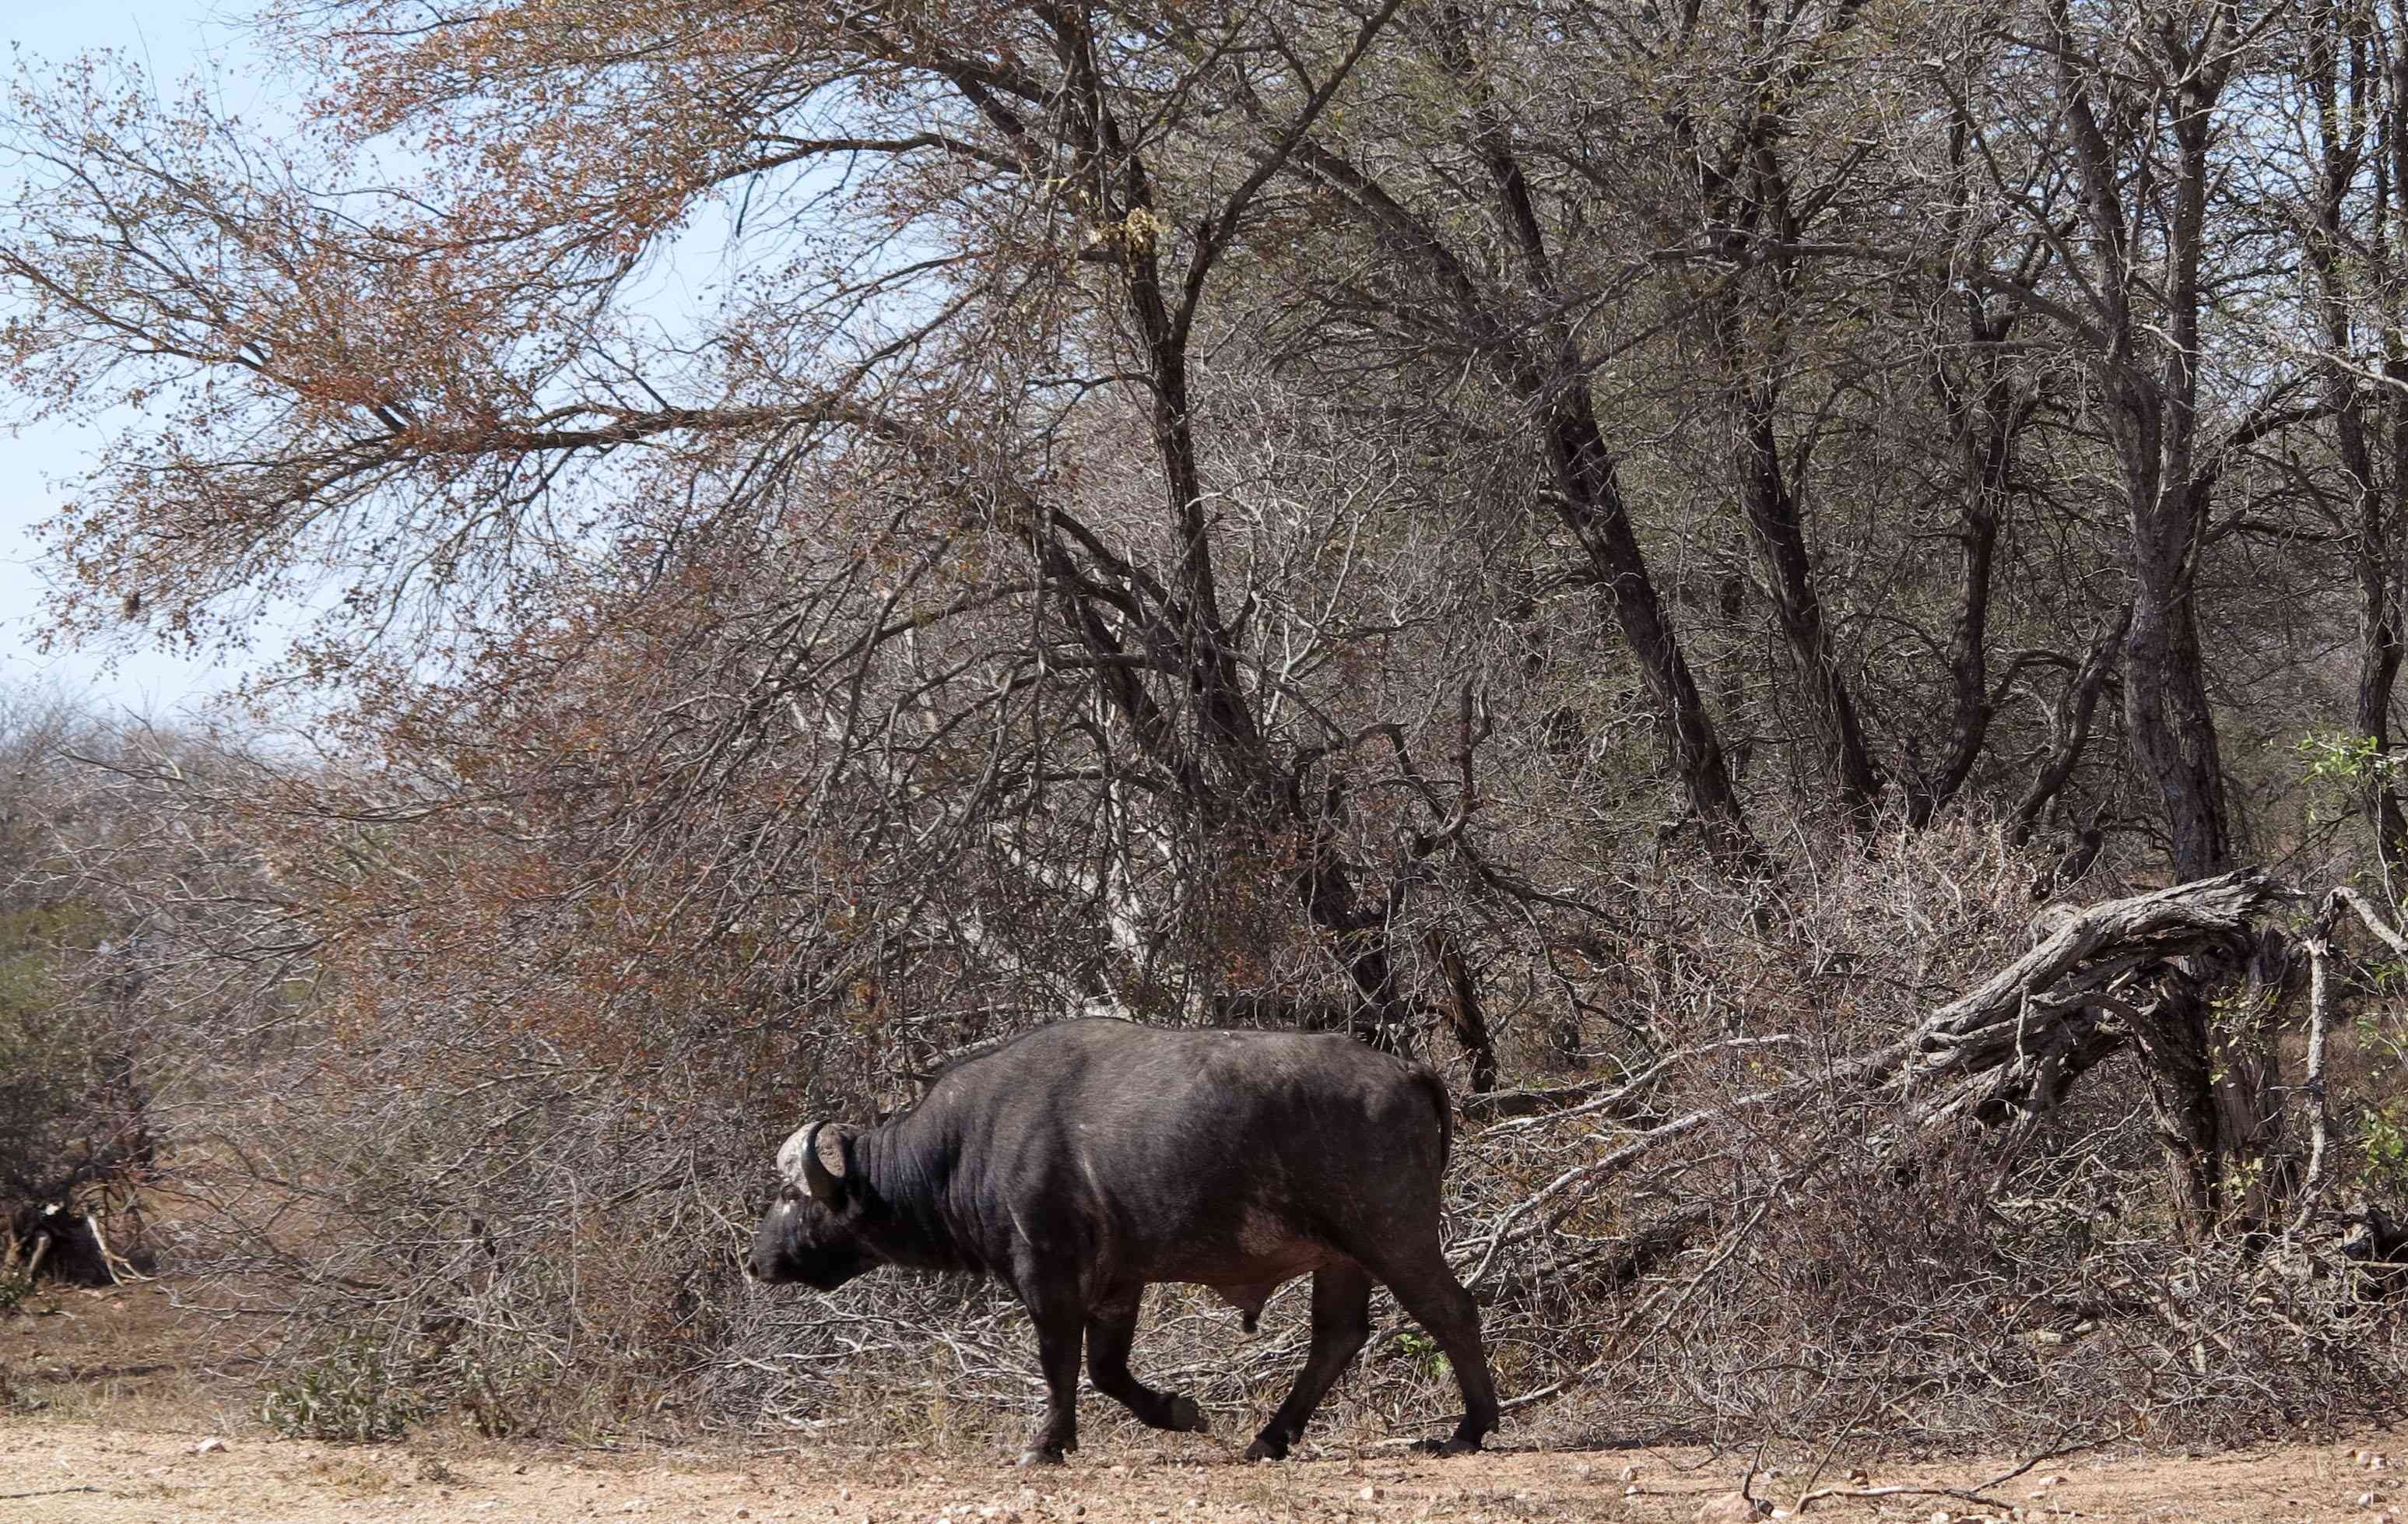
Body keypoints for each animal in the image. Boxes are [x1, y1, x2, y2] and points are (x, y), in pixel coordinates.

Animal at [741, 1020, 1493, 1463]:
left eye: (791, 1196)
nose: (757, 1260)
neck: (964, 1144)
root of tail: (1406, 1071)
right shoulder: (1118, 1286)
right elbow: (1106, 1370)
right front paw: (1178, 1411)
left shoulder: (1047, 1276)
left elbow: (1058, 1363)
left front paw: (1046, 1445)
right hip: (1342, 1258)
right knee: (1338, 1337)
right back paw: (1269, 1438)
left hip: (1392, 1236)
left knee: (1451, 1311)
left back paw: (1470, 1428)